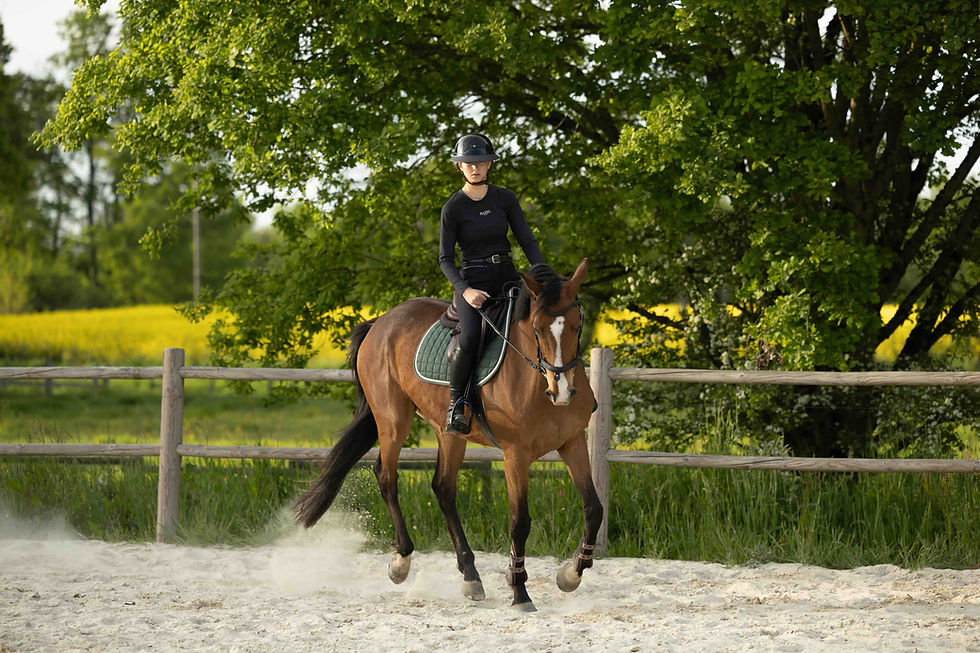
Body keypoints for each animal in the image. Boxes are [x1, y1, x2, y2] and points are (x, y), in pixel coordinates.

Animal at [294, 258, 603, 611]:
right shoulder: (515, 453)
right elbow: (520, 522)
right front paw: (520, 591)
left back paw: (470, 576)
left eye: (577, 326)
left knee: (443, 488)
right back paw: (401, 561)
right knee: (387, 476)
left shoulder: (572, 442)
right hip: (393, 419)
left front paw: (570, 574)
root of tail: (380, 322)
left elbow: (594, 509)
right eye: (537, 329)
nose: (560, 391)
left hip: (448, 432)